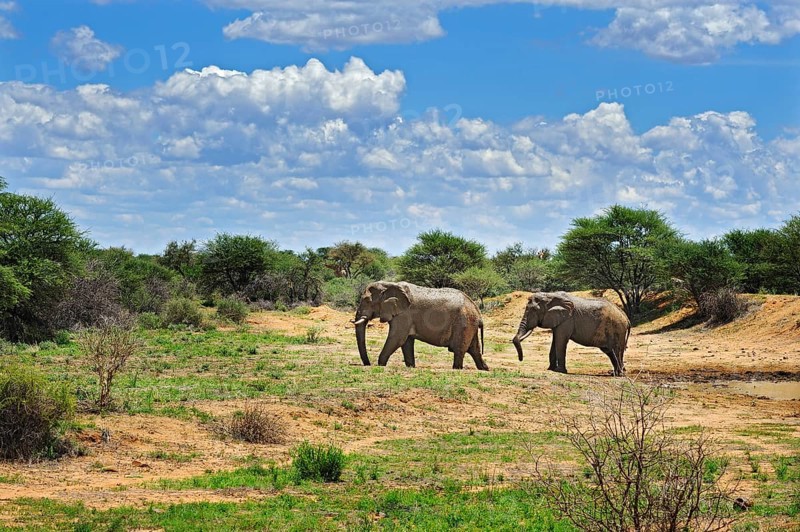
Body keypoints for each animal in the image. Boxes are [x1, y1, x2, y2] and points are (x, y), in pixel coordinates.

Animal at [352, 281, 488, 370]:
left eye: (367, 301)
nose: (368, 364)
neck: (388, 284)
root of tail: (478, 313)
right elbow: (406, 342)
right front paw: (411, 367)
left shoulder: (404, 314)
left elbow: (397, 338)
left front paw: (380, 365)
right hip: (470, 325)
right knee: (474, 349)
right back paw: (485, 369)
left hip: (464, 324)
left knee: (459, 350)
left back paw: (457, 368)